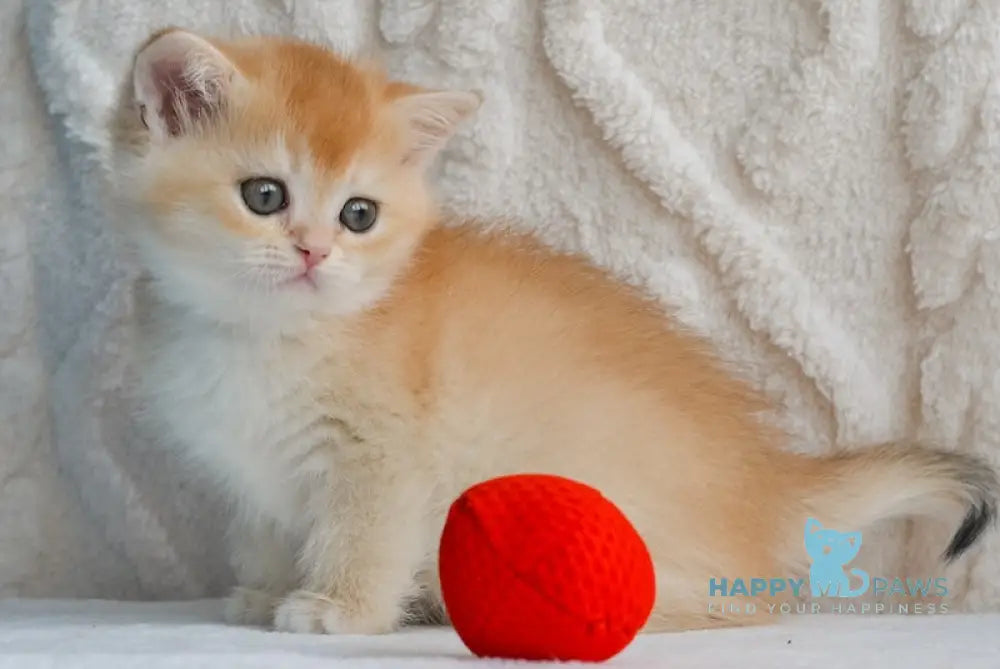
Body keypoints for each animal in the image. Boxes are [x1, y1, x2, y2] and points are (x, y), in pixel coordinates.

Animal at [111, 31, 1000, 636]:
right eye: (265, 195)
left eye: (358, 214)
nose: (313, 252)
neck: (267, 334)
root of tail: (771, 479)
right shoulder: (253, 470)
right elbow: (263, 529)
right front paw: (262, 591)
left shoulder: (385, 455)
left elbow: (366, 532)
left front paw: (340, 607)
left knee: (733, 600)